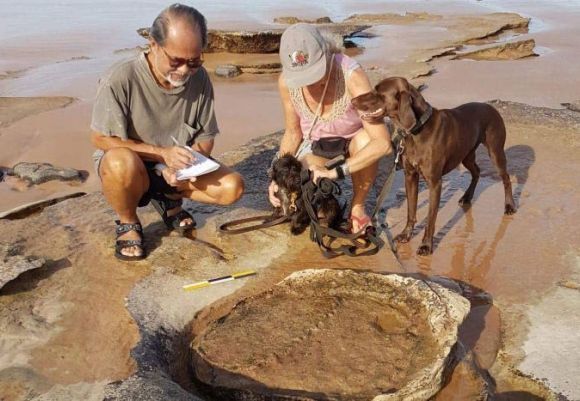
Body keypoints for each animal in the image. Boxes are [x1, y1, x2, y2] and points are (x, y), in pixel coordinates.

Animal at [351, 77, 516, 255]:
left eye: (378, 92)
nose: (352, 101)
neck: (417, 129)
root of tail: (492, 108)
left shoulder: (435, 183)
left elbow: (430, 218)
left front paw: (426, 245)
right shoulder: (410, 177)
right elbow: (411, 211)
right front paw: (406, 235)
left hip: (495, 152)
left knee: (506, 177)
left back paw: (509, 206)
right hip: (466, 155)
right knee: (477, 172)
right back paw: (467, 197)